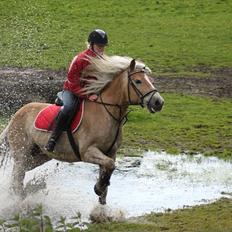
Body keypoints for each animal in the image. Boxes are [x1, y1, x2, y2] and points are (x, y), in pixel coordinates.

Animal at [2, 55, 164, 205]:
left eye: (150, 80)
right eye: (138, 81)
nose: (159, 102)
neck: (106, 113)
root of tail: (15, 116)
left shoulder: (111, 153)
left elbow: (109, 169)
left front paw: (101, 197)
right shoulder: (88, 152)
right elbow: (109, 166)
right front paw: (98, 188)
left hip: (39, 156)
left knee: (20, 174)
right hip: (22, 153)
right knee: (17, 177)